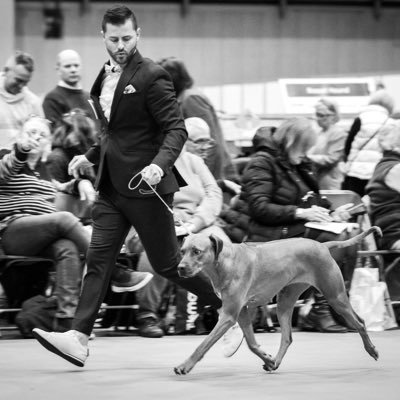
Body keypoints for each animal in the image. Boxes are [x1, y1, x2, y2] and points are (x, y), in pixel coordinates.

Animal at [173, 228, 380, 376]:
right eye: (182, 251)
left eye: (197, 251)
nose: (180, 268)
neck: (224, 262)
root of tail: (322, 245)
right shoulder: (242, 312)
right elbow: (251, 344)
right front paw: (268, 359)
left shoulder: (229, 315)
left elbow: (203, 344)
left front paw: (185, 365)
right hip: (285, 302)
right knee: (287, 337)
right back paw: (276, 362)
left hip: (335, 297)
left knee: (360, 322)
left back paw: (371, 350)